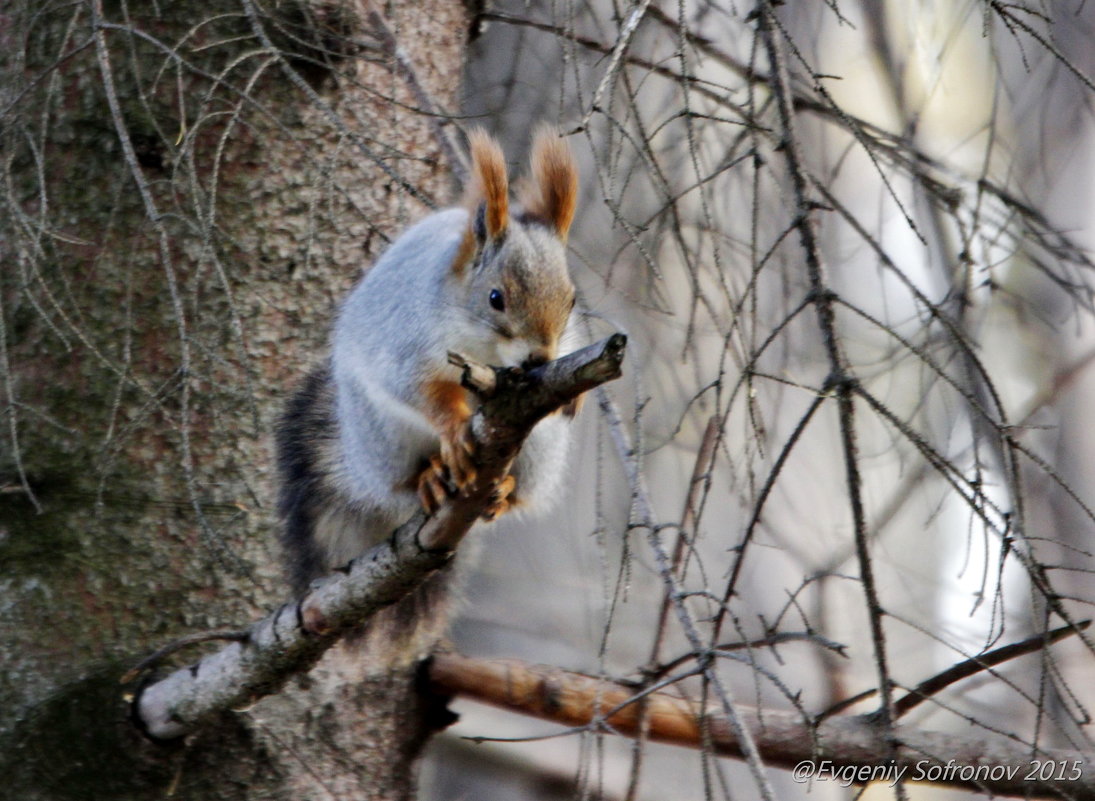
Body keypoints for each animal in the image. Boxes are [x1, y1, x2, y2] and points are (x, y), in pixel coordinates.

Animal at [275, 126, 582, 665]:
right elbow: (422, 391)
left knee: (522, 492)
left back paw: (503, 489)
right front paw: (456, 429)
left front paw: (572, 400)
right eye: (496, 298)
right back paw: (431, 477)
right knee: (400, 480)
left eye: (570, 300)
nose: (540, 360)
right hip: (382, 440)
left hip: (540, 451)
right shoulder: (408, 344)